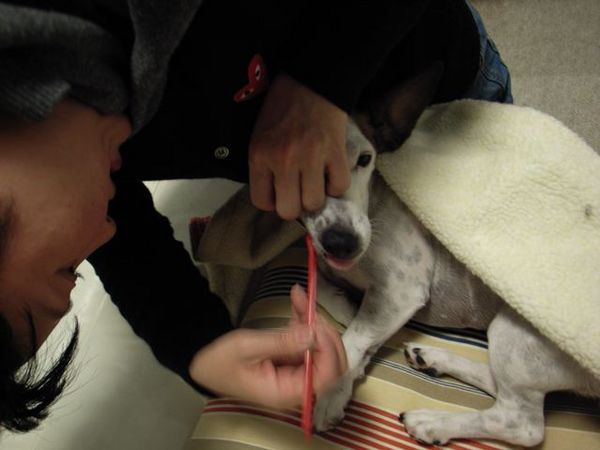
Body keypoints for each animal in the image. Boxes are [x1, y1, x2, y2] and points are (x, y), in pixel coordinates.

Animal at [302, 65, 600, 447]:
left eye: (365, 160)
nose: (342, 242)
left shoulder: (401, 290)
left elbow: (352, 340)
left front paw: (330, 393)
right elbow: (319, 290)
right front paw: (346, 307)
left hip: (519, 336)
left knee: (521, 423)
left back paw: (433, 422)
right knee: (498, 386)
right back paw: (432, 357)